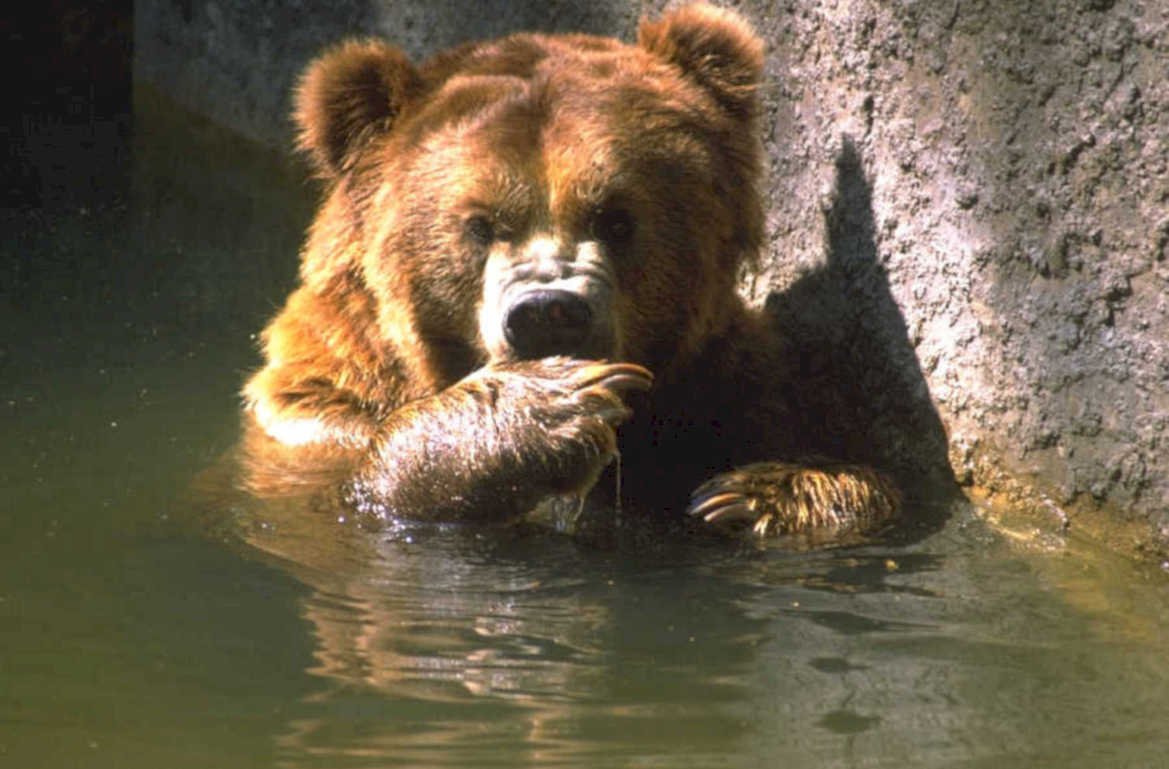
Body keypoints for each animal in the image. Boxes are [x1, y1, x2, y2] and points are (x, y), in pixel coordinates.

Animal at [239, 3, 899, 540]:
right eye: (481, 224)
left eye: (615, 217)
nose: (548, 311)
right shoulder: (312, 424)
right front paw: (545, 408)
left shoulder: (741, 392)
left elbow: (862, 483)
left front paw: (751, 494)